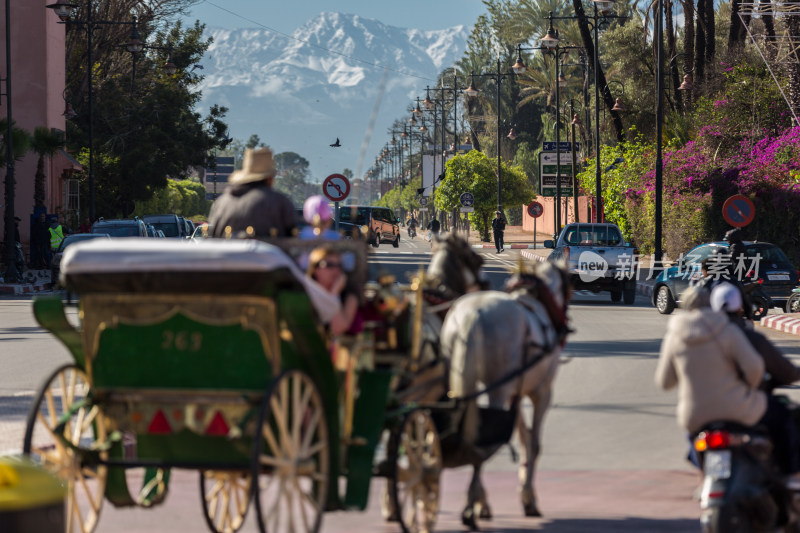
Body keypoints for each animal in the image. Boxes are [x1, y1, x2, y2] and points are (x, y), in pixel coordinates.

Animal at [438, 260, 568, 524]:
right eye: (569, 286)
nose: (565, 323)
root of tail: (472, 316)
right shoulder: (542, 392)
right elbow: (534, 443)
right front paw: (529, 498)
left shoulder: (514, 393)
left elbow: (523, 436)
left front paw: (525, 490)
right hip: (498, 388)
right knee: (486, 436)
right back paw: (474, 504)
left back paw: (477, 499)